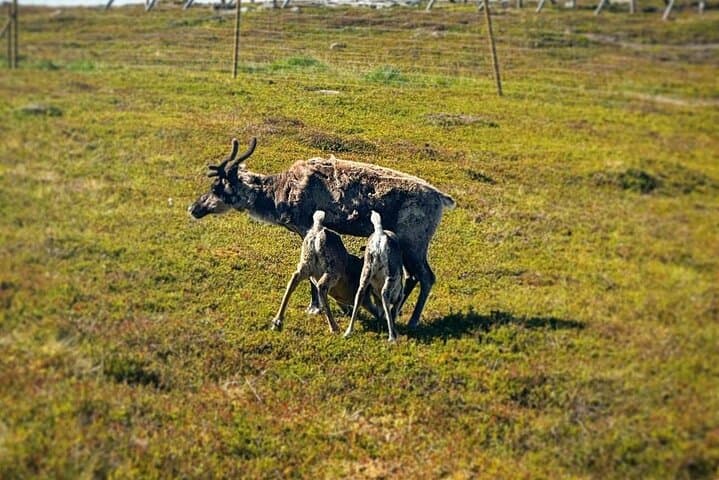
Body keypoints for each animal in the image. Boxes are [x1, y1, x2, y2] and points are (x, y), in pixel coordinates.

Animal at [188, 138, 455, 328]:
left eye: (217, 188)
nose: (193, 208)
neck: (279, 194)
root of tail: (442, 198)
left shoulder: (306, 227)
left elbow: (310, 275)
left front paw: (314, 307)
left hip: (415, 242)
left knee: (427, 277)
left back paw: (412, 320)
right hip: (408, 245)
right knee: (413, 276)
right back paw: (395, 312)